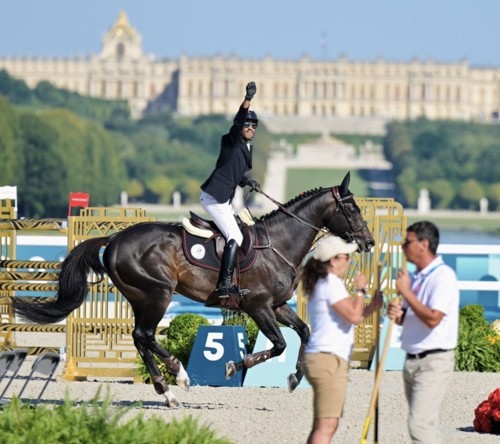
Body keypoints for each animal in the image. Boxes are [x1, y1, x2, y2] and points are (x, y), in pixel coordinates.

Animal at [11, 172, 374, 408]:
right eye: (352, 209)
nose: (369, 242)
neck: (279, 243)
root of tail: (114, 238)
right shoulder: (258, 306)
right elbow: (280, 344)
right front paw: (232, 366)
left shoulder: (278, 305)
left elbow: (305, 332)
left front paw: (295, 378)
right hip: (158, 294)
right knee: (144, 336)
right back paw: (180, 376)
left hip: (141, 297)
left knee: (140, 338)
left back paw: (168, 392)